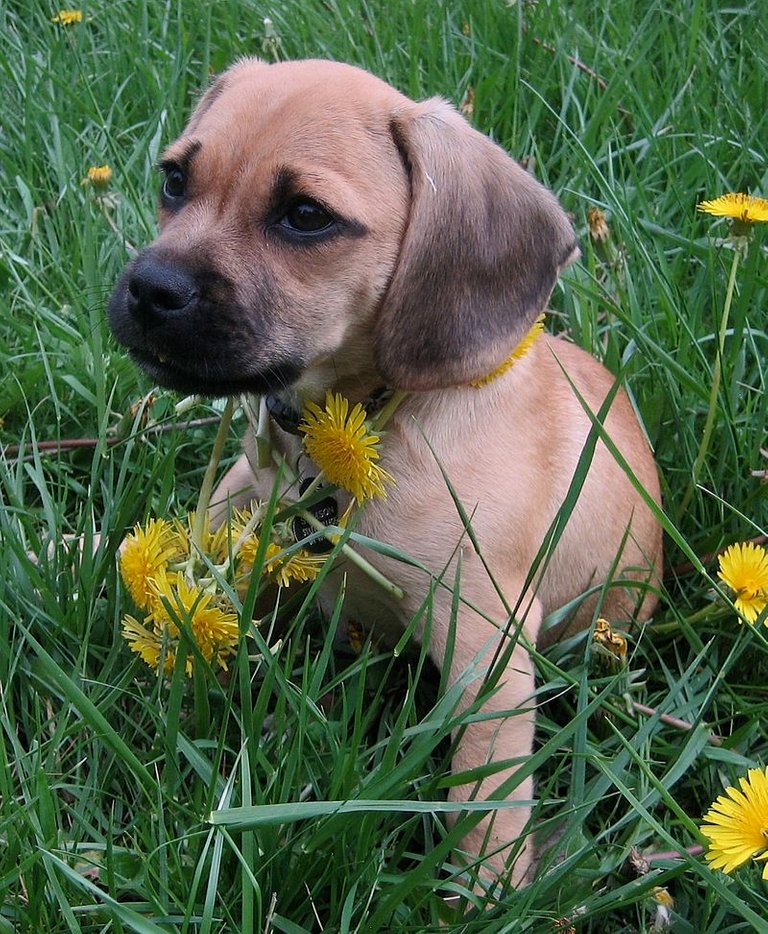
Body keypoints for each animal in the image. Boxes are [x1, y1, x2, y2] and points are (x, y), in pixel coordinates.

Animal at [105, 54, 664, 888]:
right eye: (174, 180)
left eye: (306, 216)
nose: (150, 288)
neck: (367, 420)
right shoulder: (247, 497)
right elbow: (178, 541)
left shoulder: (487, 642)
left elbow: (486, 786)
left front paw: (483, 888)